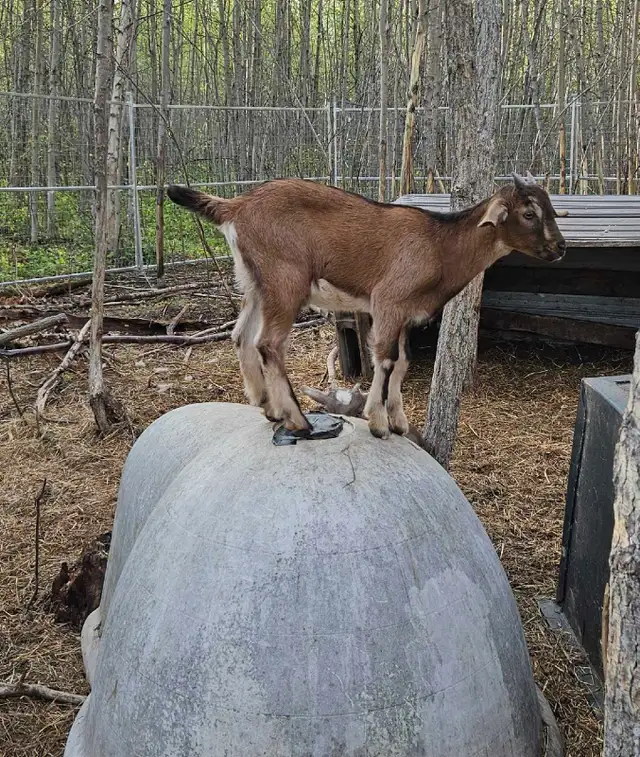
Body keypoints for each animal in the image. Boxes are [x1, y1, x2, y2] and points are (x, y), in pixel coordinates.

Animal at [167, 171, 567, 440]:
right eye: (528, 213)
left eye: (551, 208)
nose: (561, 247)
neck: (440, 245)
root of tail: (236, 206)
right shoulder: (388, 300)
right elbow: (385, 360)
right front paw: (378, 423)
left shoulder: (406, 313)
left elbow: (403, 362)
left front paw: (399, 420)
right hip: (285, 281)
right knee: (268, 343)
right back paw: (298, 420)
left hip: (255, 283)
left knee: (240, 336)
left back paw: (268, 407)